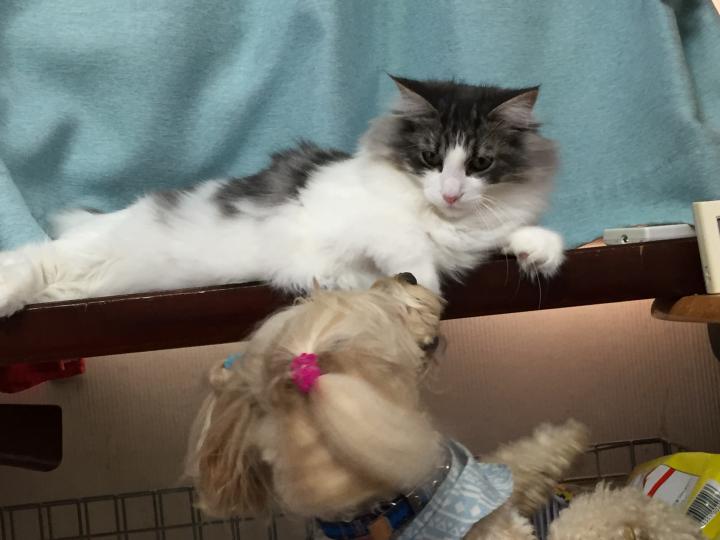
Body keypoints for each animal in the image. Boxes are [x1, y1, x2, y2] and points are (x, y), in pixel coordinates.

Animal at [0, 75, 563, 317]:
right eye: (429, 157)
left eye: (480, 164)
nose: (449, 193)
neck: (444, 222)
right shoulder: (346, 217)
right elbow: (407, 246)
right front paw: (423, 289)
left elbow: (518, 234)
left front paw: (540, 251)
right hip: (83, 252)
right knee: (30, 258)